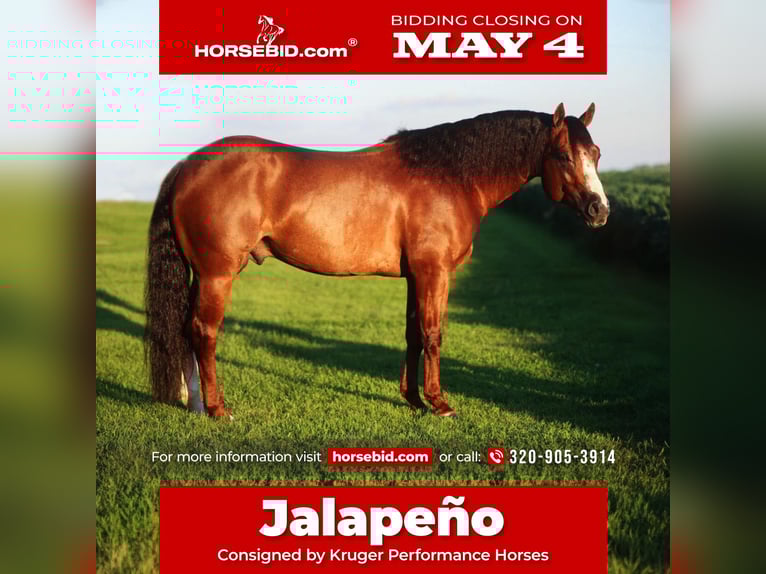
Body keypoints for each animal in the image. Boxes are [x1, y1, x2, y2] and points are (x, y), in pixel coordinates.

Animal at [144, 103, 609, 419]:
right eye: (564, 156)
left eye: (597, 154)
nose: (599, 210)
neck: (450, 175)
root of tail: (188, 166)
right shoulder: (434, 272)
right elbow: (434, 334)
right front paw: (440, 404)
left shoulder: (416, 275)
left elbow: (413, 334)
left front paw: (414, 399)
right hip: (217, 274)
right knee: (204, 332)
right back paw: (218, 409)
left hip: (202, 274)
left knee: (186, 330)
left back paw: (194, 402)